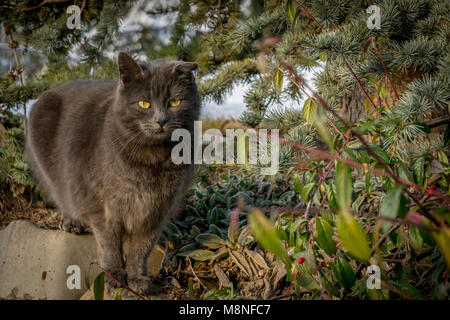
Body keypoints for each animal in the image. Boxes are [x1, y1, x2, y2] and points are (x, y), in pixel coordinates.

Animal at [25, 52, 200, 292]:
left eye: (174, 102)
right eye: (144, 103)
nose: (161, 120)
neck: (152, 160)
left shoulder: (157, 210)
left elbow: (141, 248)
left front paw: (137, 279)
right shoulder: (102, 206)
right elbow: (109, 244)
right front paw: (115, 275)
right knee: (60, 193)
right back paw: (72, 222)